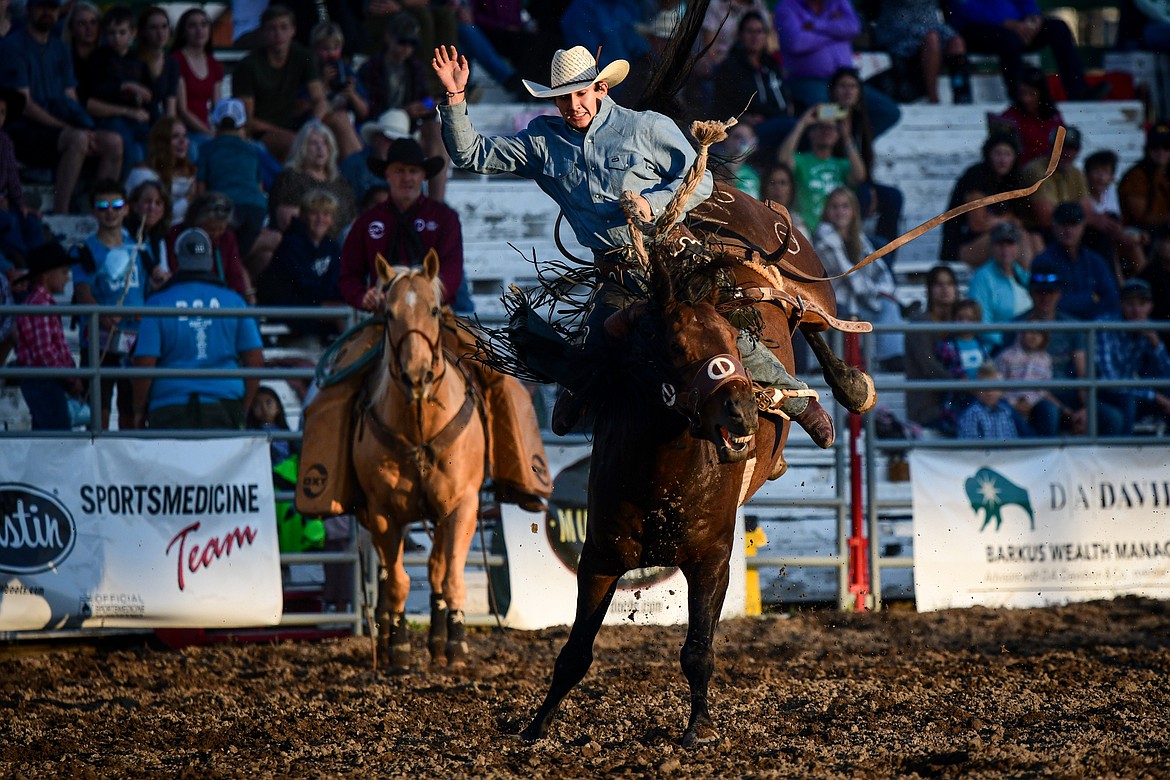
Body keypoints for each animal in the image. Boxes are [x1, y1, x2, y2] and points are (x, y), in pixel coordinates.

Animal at [353, 250, 486, 673]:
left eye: (432, 309)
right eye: (389, 313)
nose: (417, 376)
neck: (419, 427)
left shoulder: (462, 505)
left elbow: (452, 577)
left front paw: (456, 644)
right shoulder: (382, 512)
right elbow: (397, 581)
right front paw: (398, 648)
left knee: (438, 568)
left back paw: (440, 640)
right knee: (388, 572)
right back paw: (385, 634)